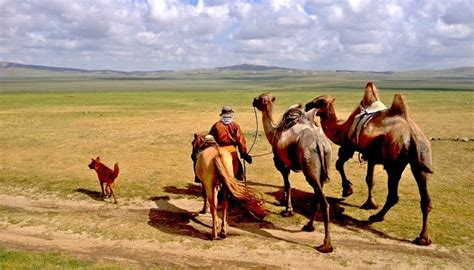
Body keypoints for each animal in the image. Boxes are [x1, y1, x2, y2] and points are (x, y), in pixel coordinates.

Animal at [252, 93, 334, 253]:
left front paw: (287, 210)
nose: (253, 100)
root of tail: (319, 143)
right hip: (323, 165)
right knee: (317, 195)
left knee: (323, 201)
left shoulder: (280, 162)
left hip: (309, 164)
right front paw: (286, 206)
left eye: (259, 98)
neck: (274, 132)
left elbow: (287, 183)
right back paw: (309, 226)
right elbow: (288, 184)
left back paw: (326, 244)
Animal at [306, 85, 436, 246]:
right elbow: (370, 179)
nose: (307, 106)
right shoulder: (371, 156)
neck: (341, 128)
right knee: (425, 199)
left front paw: (348, 190)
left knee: (393, 195)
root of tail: (412, 135)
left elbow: (339, 164)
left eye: (319, 101)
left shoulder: (348, 146)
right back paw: (423, 237)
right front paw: (369, 203)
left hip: (393, 163)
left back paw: (377, 217)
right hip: (421, 162)